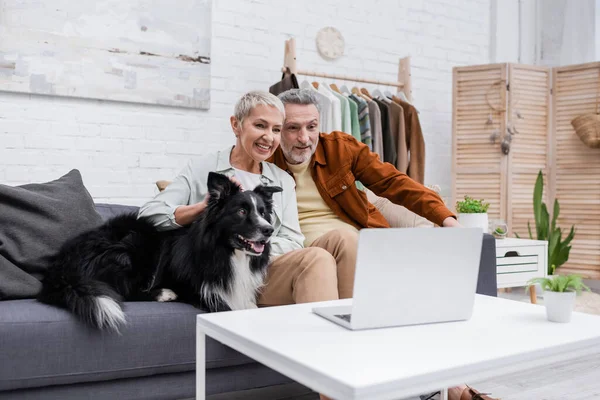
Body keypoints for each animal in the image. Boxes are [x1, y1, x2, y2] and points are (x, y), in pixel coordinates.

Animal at [37, 172, 282, 332]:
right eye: (241, 211)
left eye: (263, 212)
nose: (269, 230)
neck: (225, 251)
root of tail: (61, 266)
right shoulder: (197, 291)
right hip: (135, 244)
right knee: (123, 291)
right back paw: (164, 293)